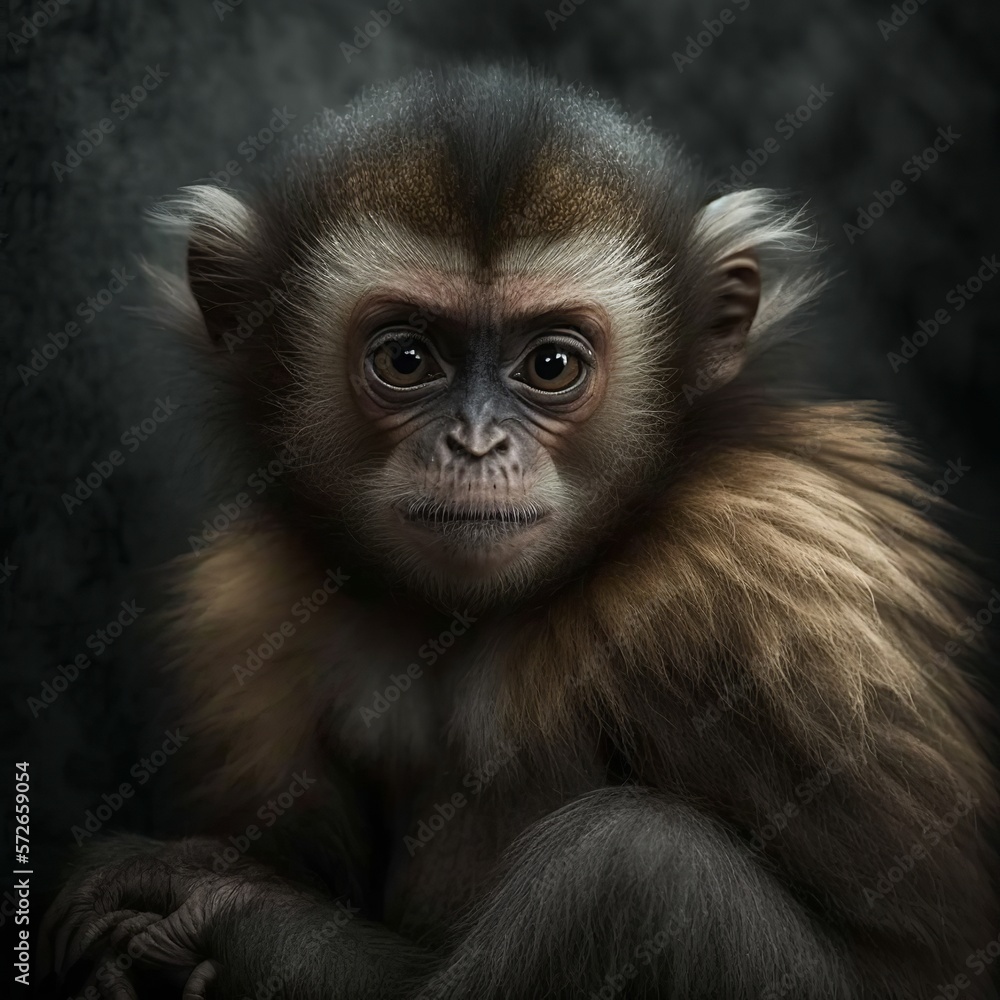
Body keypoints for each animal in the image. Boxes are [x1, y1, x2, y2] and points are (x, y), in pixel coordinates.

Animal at [40, 66, 998, 1000]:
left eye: (551, 364)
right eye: (406, 359)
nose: (474, 443)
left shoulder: (747, 582)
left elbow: (919, 964)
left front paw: (227, 914)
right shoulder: (249, 607)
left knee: (635, 868)